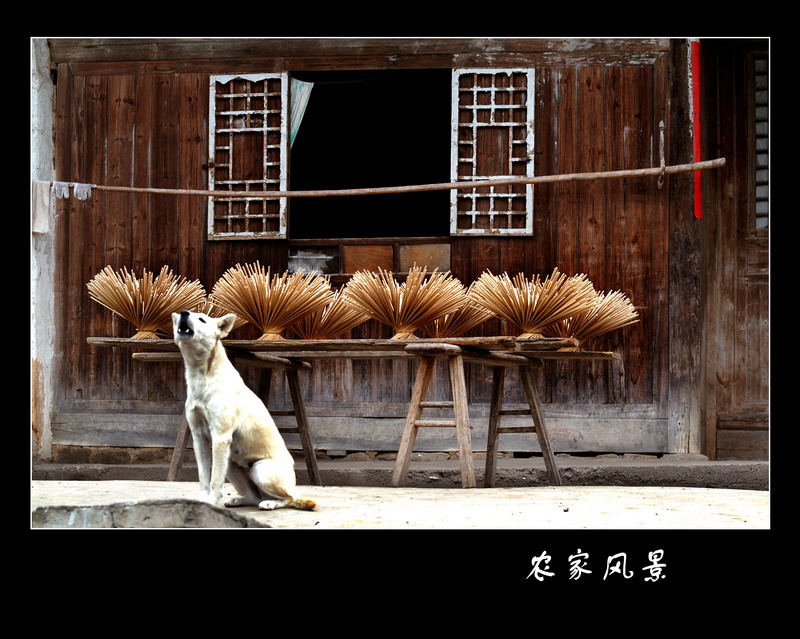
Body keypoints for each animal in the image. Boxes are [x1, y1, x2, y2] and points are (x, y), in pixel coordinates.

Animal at [172, 312, 316, 516]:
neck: (203, 376)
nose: (184, 313)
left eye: (202, 319)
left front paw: (210, 503)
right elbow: (204, 477)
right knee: (254, 496)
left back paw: (270, 503)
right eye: (186, 314)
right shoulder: (199, 438)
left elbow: (215, 480)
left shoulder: (220, 437)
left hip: (261, 470)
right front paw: (202, 500)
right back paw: (240, 500)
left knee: (289, 498)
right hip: (232, 465)